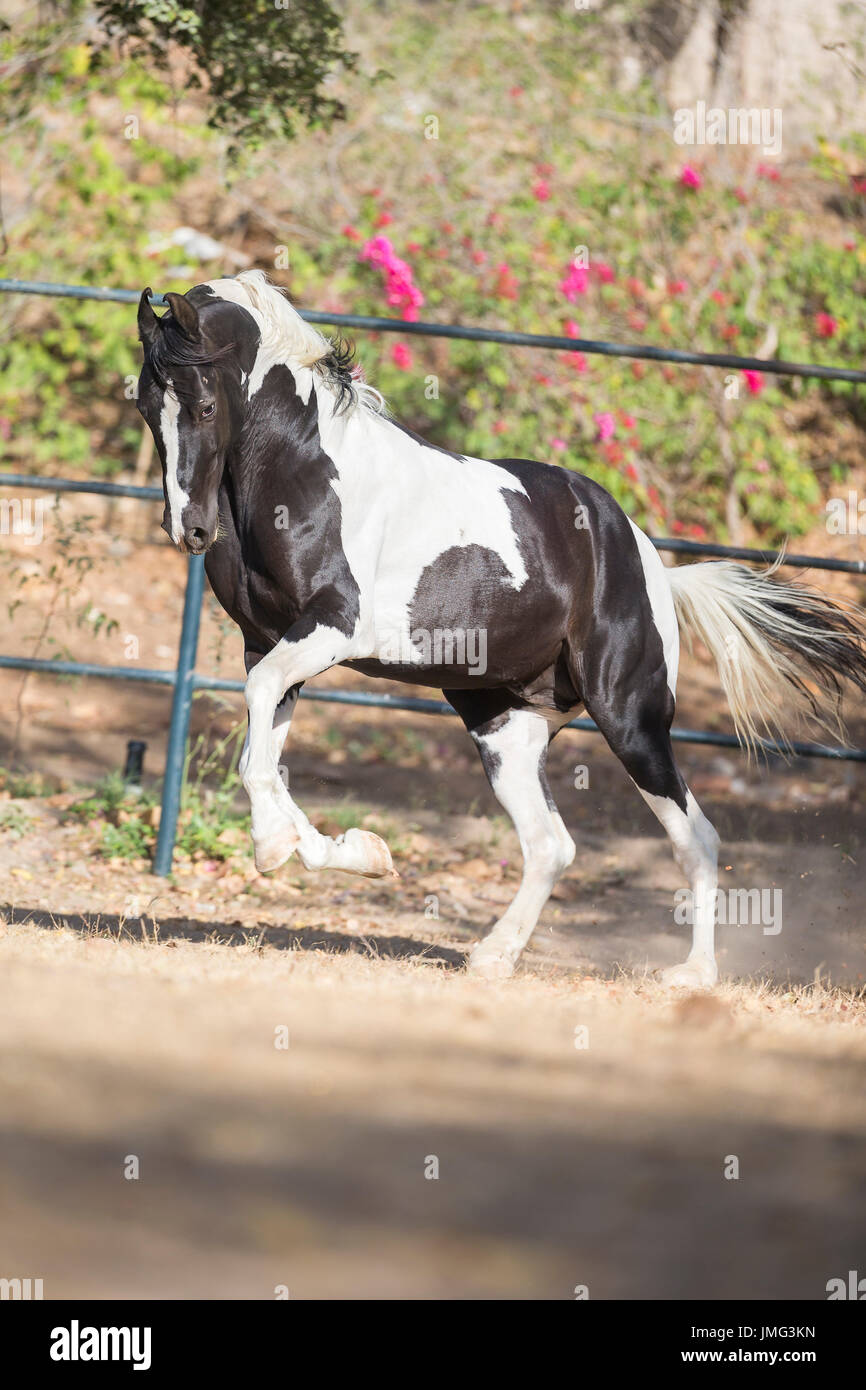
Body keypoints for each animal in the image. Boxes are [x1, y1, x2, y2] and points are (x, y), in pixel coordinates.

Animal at [135, 270, 866, 988]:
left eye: (204, 406)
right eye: (147, 406)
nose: (188, 529)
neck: (306, 476)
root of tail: (647, 556)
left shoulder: (331, 629)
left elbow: (260, 727)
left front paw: (279, 845)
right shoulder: (273, 645)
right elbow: (265, 750)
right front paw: (355, 852)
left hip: (631, 717)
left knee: (696, 837)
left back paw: (693, 974)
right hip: (504, 724)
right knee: (551, 845)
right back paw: (493, 956)